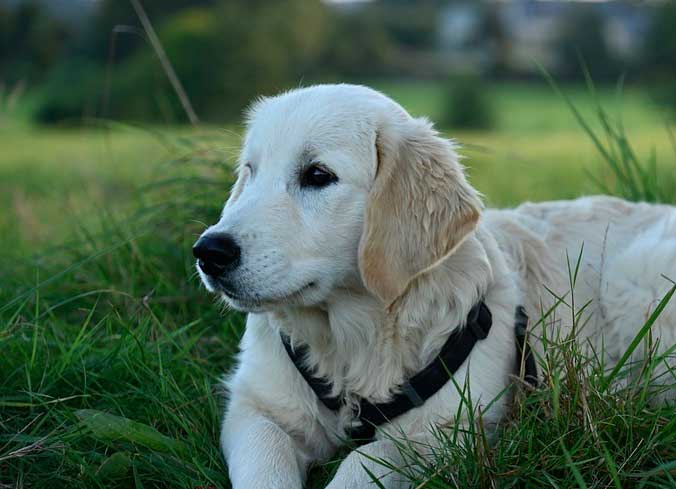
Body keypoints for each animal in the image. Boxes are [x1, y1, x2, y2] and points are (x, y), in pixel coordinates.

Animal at [191, 85, 676, 488]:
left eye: (317, 175)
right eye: (250, 171)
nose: (209, 251)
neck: (351, 339)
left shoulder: (442, 433)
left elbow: (362, 462)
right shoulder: (257, 409)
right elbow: (265, 462)